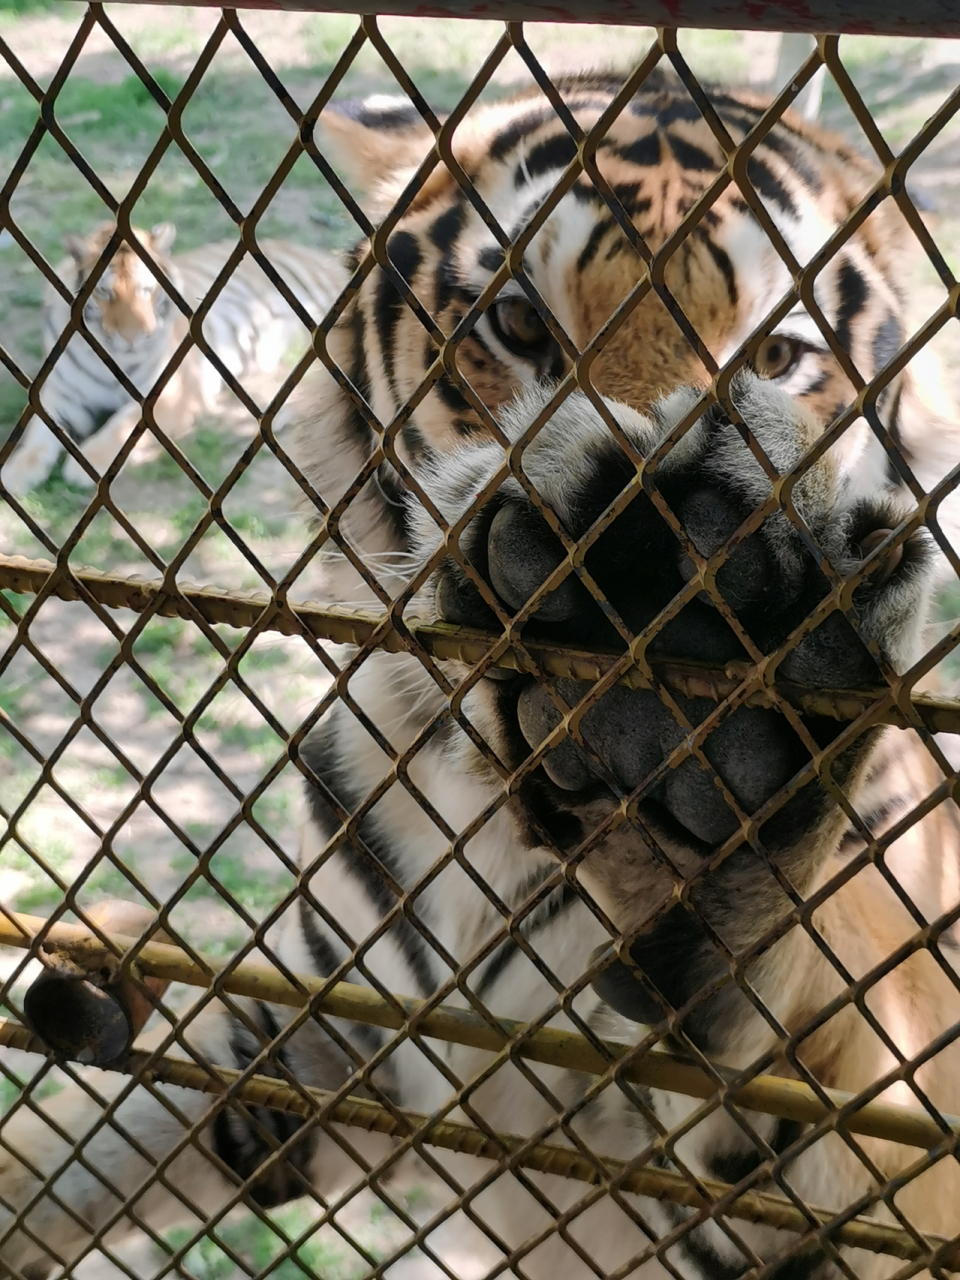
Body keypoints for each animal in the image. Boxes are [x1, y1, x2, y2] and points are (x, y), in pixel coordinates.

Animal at [0, 220, 345, 494]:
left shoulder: (169, 396)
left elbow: (121, 425)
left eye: (145, 290)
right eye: (104, 292)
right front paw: (15, 473)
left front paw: (88, 464)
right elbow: (37, 432)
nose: (132, 337)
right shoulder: (61, 394)